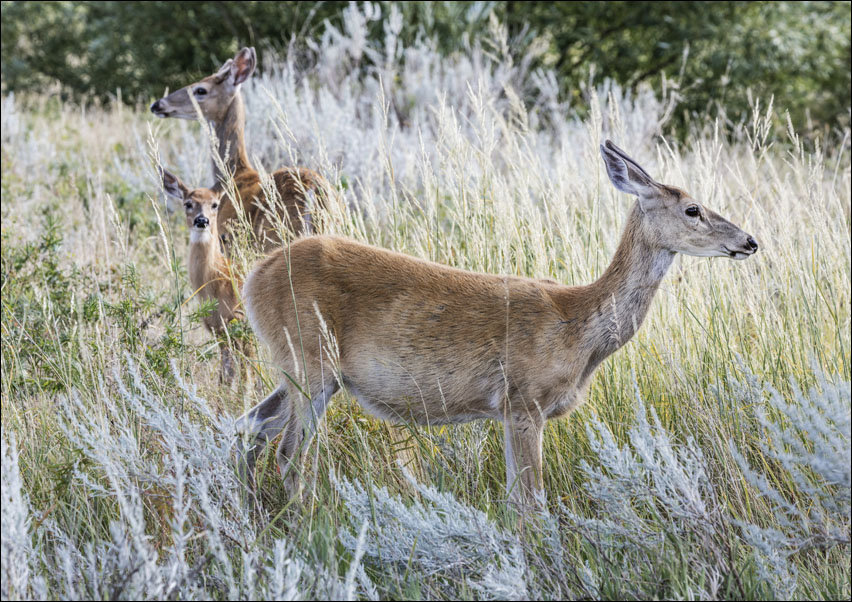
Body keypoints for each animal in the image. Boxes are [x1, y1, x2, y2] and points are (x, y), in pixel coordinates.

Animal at [160, 167, 249, 386]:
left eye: (215, 204)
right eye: (188, 203)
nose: (202, 220)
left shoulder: (241, 324)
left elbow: (247, 376)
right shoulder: (218, 330)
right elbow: (225, 376)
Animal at [234, 141, 760, 508]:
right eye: (692, 209)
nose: (749, 241)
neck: (578, 329)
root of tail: (254, 276)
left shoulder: (513, 411)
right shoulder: (523, 401)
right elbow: (529, 503)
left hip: (302, 370)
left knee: (248, 426)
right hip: (310, 361)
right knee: (289, 455)